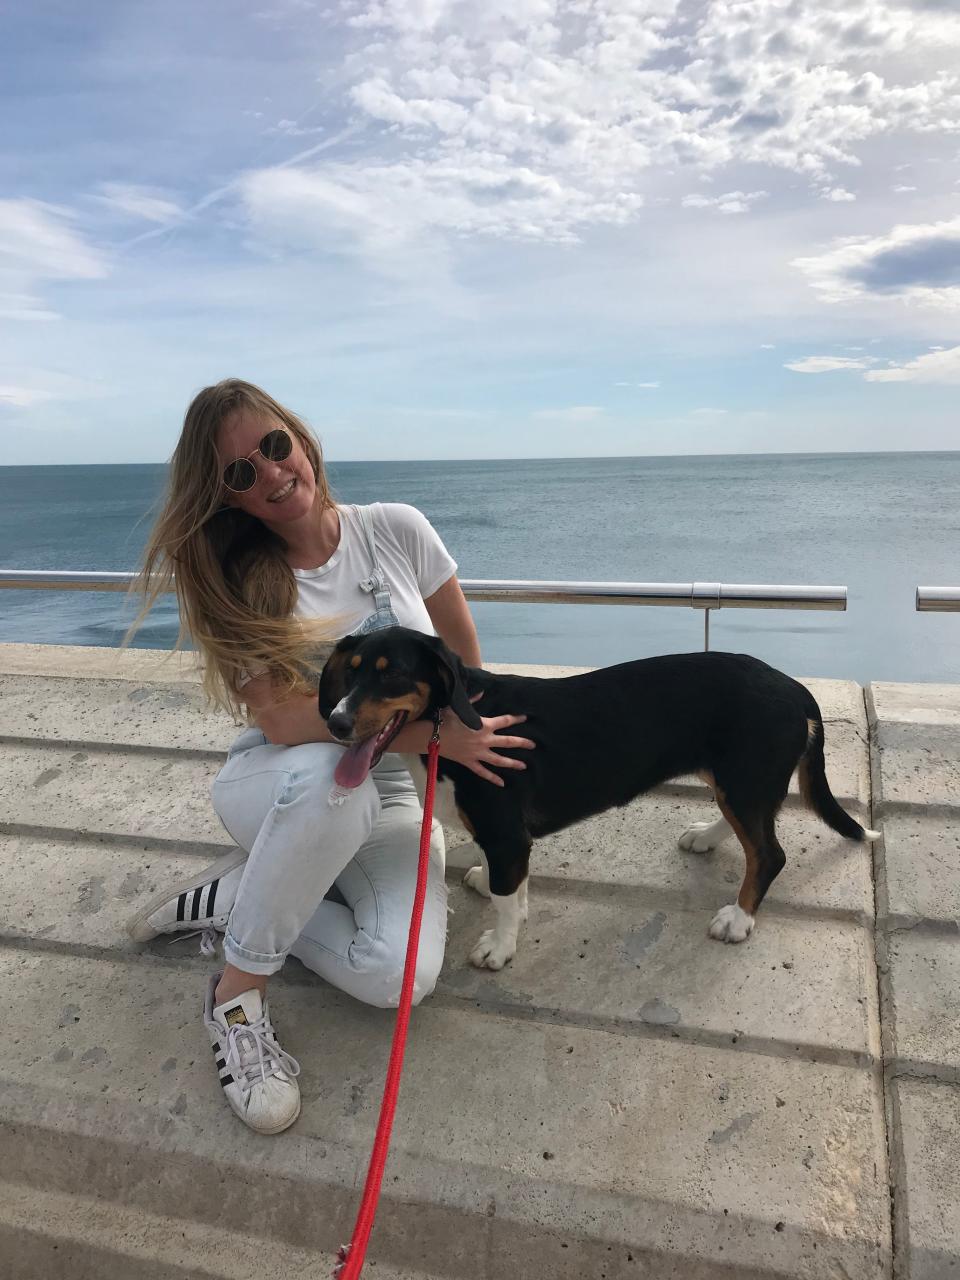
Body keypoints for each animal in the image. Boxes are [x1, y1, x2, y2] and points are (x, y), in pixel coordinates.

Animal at [320, 627, 875, 967]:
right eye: (352, 670)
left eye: (391, 672)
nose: (337, 723)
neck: (455, 721)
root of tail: (794, 687)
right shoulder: (510, 842)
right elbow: (512, 887)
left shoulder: (505, 835)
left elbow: (504, 899)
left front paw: (499, 947)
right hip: (735, 780)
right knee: (748, 834)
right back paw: (706, 837)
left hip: (746, 778)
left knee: (768, 853)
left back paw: (738, 919)